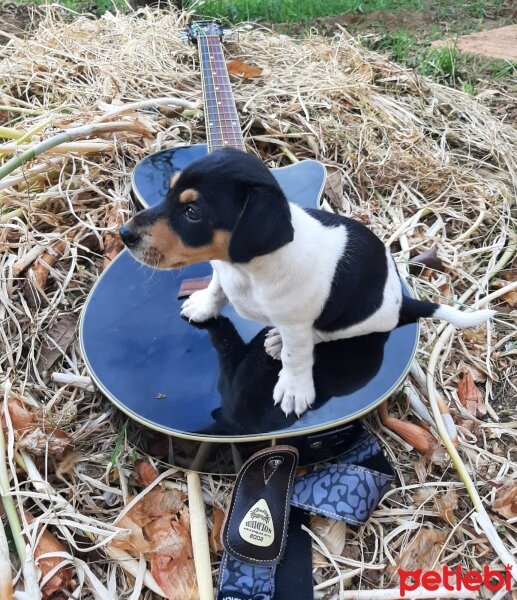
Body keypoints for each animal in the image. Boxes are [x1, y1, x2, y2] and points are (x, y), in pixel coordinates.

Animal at [119, 148, 494, 418]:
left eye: (192, 212)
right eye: (168, 192)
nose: (124, 234)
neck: (249, 270)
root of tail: (402, 302)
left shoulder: (296, 324)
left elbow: (296, 356)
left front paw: (294, 388)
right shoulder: (222, 274)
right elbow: (216, 289)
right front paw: (204, 305)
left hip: (356, 321)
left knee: (322, 336)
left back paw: (277, 343)